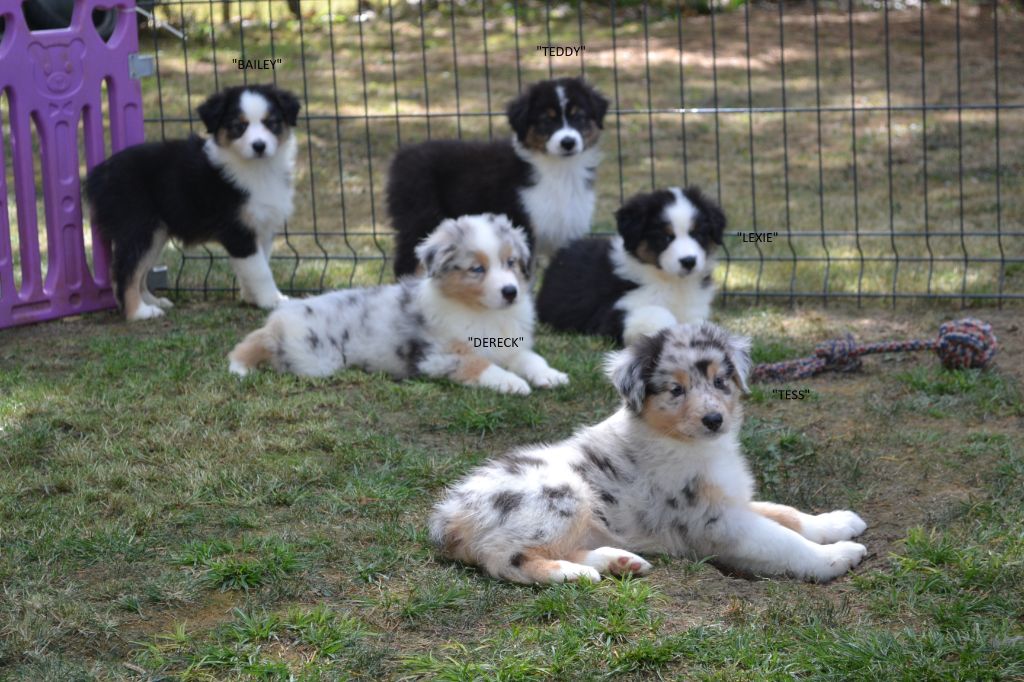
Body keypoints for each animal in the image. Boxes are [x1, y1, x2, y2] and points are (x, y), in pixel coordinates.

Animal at [86, 81, 299, 319]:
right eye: (239, 126)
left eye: (271, 123)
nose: (259, 146)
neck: (258, 169)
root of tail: (98, 174)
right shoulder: (237, 231)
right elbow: (260, 270)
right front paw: (274, 301)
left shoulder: (262, 227)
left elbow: (259, 265)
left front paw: (252, 298)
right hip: (138, 226)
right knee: (124, 271)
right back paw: (139, 312)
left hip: (155, 233)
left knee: (138, 271)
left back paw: (153, 302)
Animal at [226, 212, 569, 393]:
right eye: (477, 269)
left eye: (511, 262)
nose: (511, 292)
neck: (482, 312)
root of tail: (280, 318)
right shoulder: (439, 356)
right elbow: (480, 365)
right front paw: (513, 384)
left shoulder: (509, 345)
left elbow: (531, 358)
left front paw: (550, 375)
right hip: (315, 358)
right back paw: (238, 366)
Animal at [385, 75, 606, 274]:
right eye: (546, 120)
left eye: (579, 117)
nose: (568, 142)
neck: (560, 169)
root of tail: (402, 155)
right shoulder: (524, 228)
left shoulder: (566, 231)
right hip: (419, 219)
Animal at [428, 321, 868, 581]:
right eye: (675, 389)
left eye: (720, 381)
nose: (714, 420)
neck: (692, 445)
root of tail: (449, 517)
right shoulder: (717, 523)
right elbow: (784, 541)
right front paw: (835, 557)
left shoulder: (732, 502)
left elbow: (786, 514)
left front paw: (836, 522)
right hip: (562, 494)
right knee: (506, 558)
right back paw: (573, 574)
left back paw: (617, 561)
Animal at [536, 186, 729, 346]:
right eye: (665, 237)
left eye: (697, 234)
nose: (689, 261)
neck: (672, 282)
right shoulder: (614, 311)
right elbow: (658, 316)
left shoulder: (693, 311)